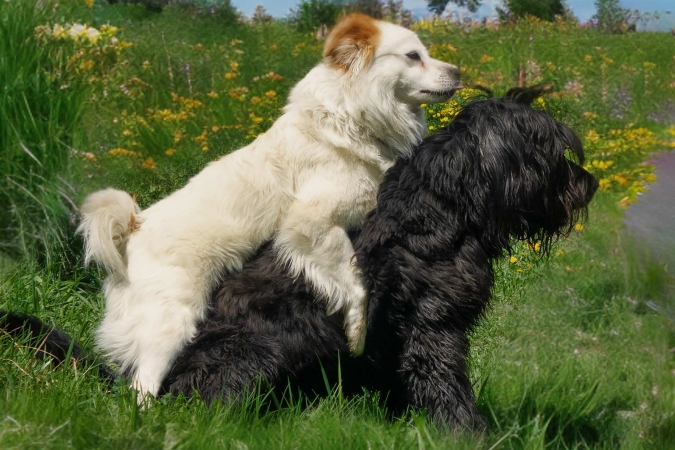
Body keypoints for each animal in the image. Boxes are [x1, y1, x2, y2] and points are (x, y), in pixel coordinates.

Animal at [76, 13, 462, 398]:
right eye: (413, 56)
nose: (458, 72)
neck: (351, 117)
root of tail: (132, 228)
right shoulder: (310, 224)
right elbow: (355, 282)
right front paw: (357, 334)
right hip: (171, 324)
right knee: (141, 388)